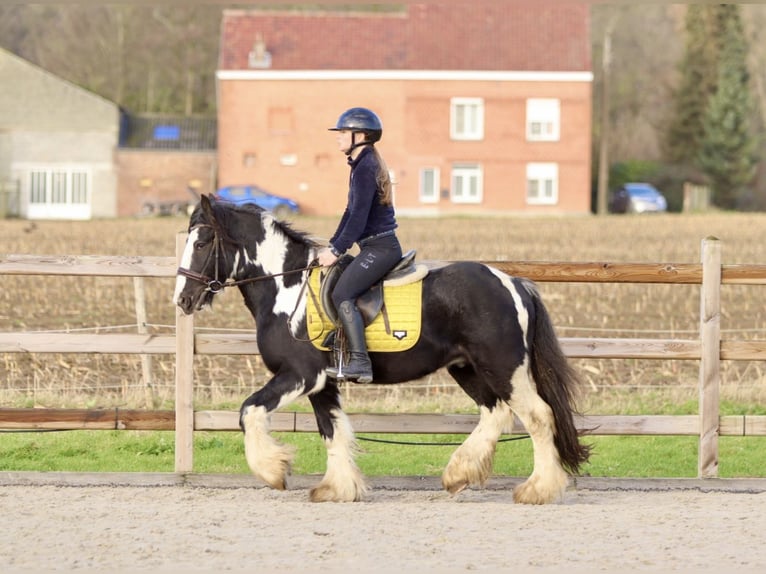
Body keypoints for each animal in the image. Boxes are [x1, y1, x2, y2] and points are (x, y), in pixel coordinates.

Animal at [176, 195, 592, 504]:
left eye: (202, 242)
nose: (183, 299)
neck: (286, 288)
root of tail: (515, 283)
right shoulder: (323, 382)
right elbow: (333, 429)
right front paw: (338, 488)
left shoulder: (300, 374)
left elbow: (250, 410)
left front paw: (275, 470)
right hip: (468, 368)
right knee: (496, 412)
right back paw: (458, 473)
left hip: (504, 367)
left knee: (538, 417)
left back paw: (536, 490)